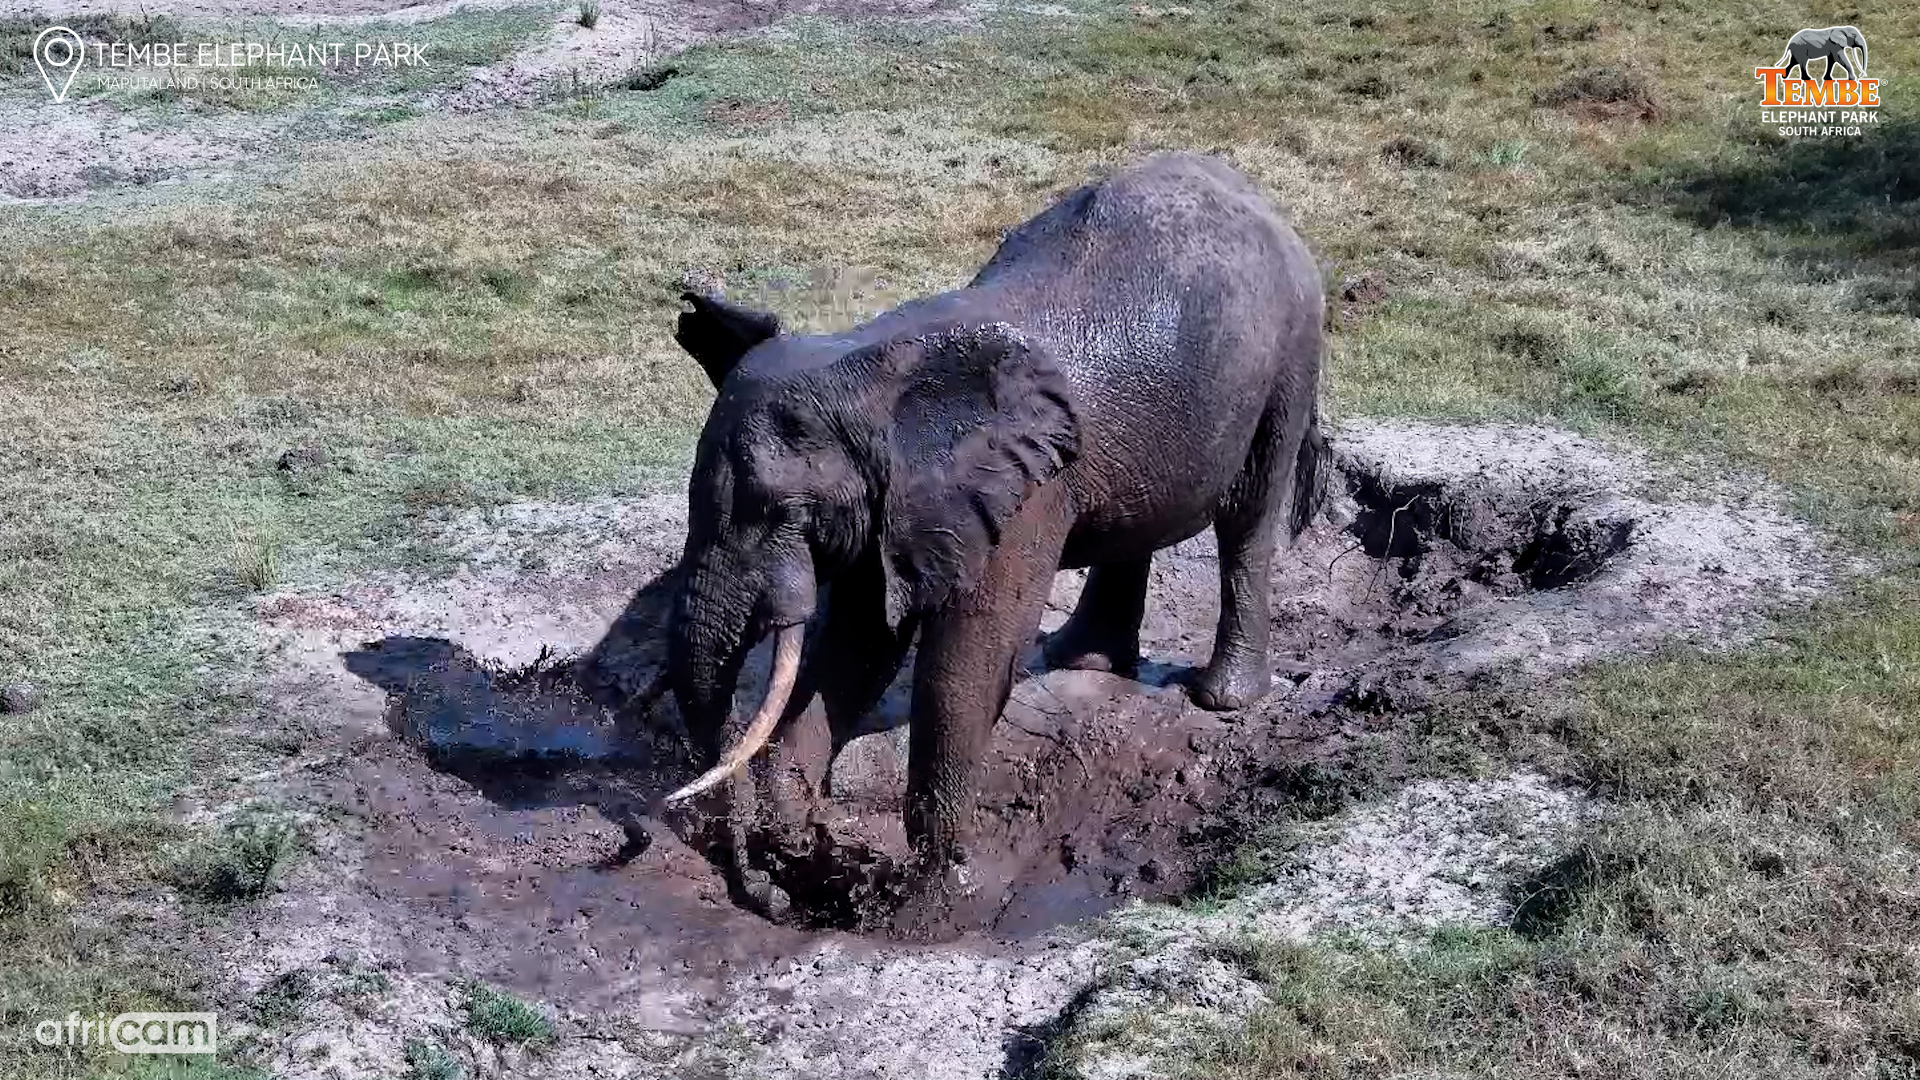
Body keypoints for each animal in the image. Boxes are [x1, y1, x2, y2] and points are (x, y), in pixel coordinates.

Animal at [646, 152, 1327, 926]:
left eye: (781, 511)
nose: (767, 897)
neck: (873, 369)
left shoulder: (1025, 492)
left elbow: (963, 661)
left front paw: (937, 901)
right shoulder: (894, 502)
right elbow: (859, 644)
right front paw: (795, 837)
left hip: (1291, 354)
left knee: (1248, 515)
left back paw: (1222, 699)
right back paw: (1081, 660)